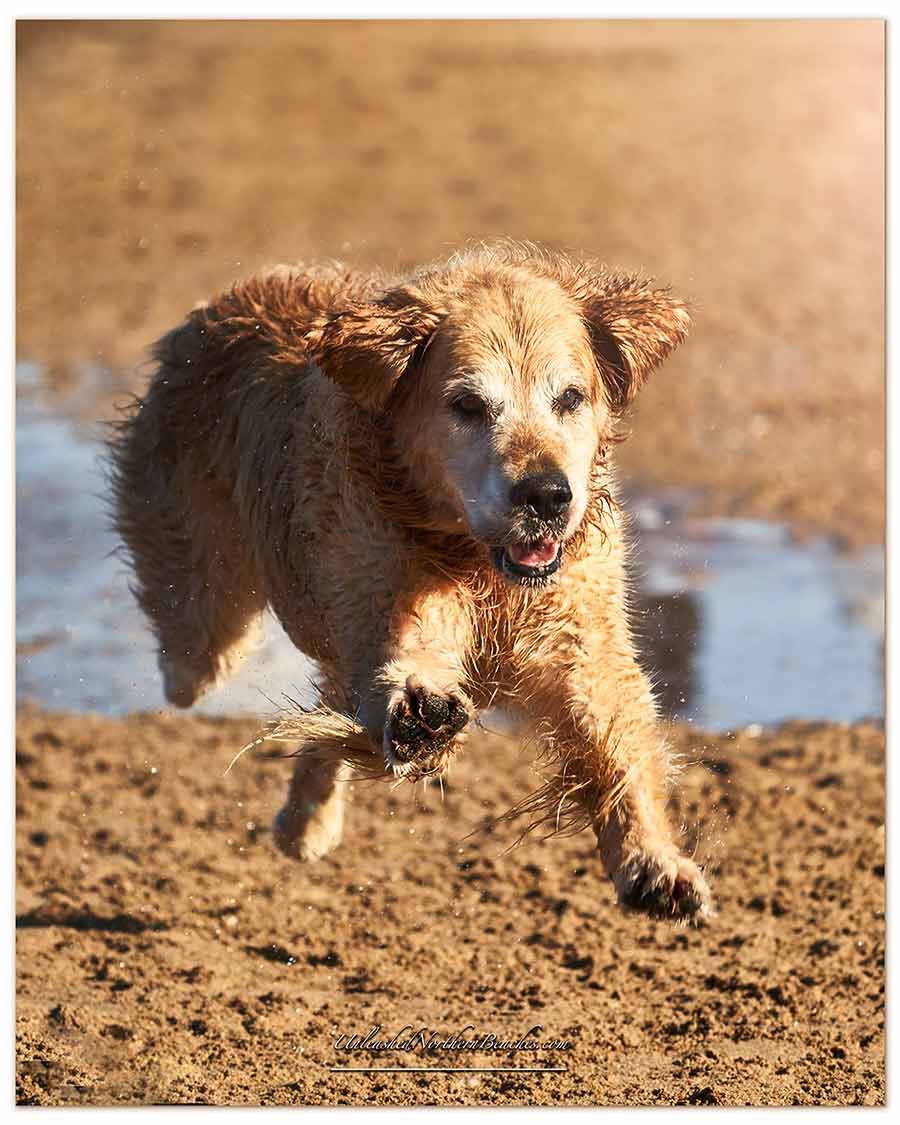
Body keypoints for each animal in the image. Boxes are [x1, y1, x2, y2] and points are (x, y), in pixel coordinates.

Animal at [110, 241, 711, 918]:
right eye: (469, 405)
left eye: (570, 397)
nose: (547, 495)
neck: (476, 558)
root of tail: (216, 308)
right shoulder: (383, 587)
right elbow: (405, 659)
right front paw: (425, 712)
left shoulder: (577, 630)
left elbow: (614, 733)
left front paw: (653, 863)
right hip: (203, 591)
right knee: (198, 657)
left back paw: (307, 822)